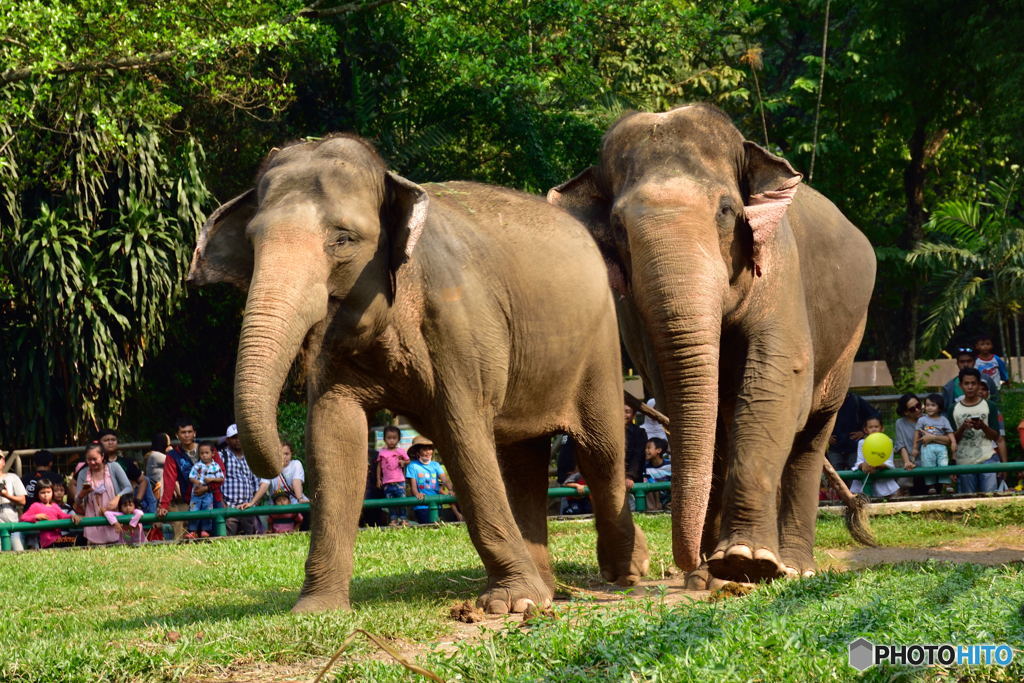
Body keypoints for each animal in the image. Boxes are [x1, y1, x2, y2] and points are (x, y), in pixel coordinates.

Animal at [187, 133, 643, 614]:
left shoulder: (458, 324)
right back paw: (549, 587)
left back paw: (627, 572)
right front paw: (317, 609)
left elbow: (463, 436)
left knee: (600, 452)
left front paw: (509, 604)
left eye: (343, 239)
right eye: (253, 243)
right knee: (522, 460)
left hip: (599, 346)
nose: (276, 457)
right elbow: (333, 436)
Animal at [548, 104, 876, 585]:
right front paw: (714, 572)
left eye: (726, 210)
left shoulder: (779, 265)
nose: (684, 562)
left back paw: (796, 567)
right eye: (618, 226)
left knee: (812, 433)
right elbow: (683, 395)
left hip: (852, 334)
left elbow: (777, 377)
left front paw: (747, 560)